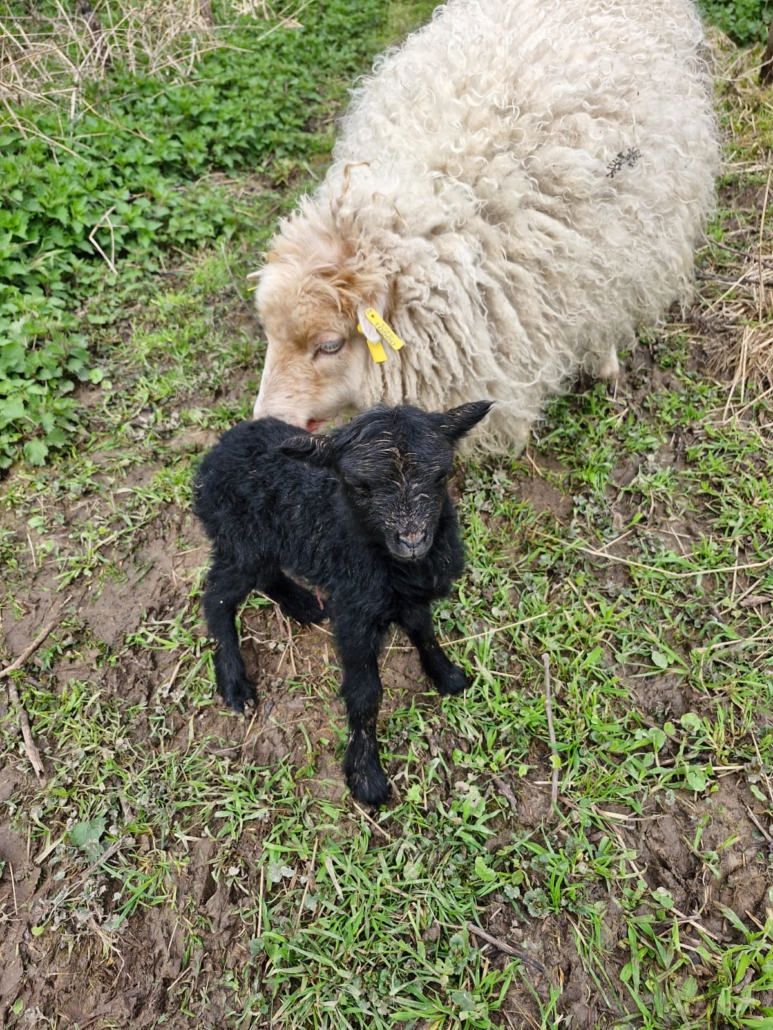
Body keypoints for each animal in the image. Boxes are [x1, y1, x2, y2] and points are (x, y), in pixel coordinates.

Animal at [193, 400, 492, 806]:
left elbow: (424, 631)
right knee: (218, 597)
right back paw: (235, 685)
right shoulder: (354, 612)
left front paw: (447, 675)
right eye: (360, 486)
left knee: (264, 574)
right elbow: (365, 692)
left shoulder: (409, 596)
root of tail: (215, 454)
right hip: (239, 539)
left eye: (440, 476)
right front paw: (366, 776)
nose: (413, 540)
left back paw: (303, 604)